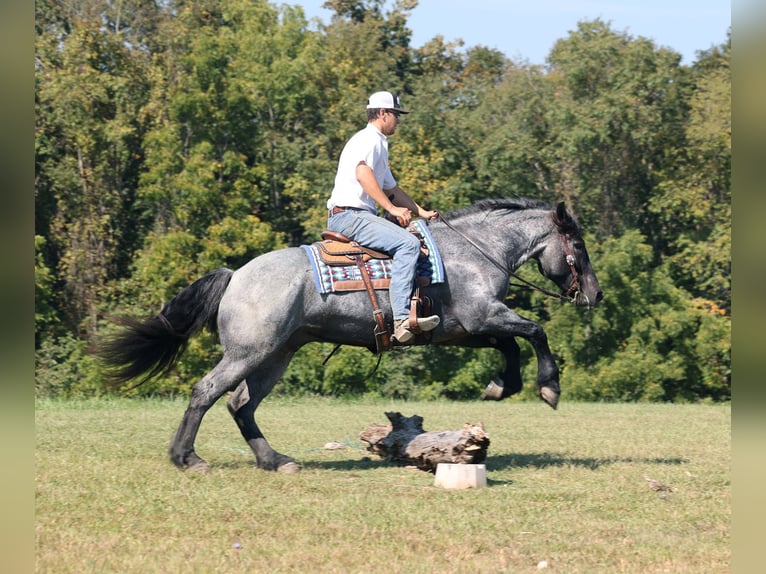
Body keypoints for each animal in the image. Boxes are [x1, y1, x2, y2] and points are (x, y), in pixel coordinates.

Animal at [100, 198, 608, 472]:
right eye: (578, 245)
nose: (596, 294)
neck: (474, 253)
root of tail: (236, 275)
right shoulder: (485, 316)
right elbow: (535, 332)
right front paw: (549, 386)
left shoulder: (466, 329)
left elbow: (510, 344)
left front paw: (502, 385)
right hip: (249, 353)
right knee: (206, 392)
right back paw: (187, 457)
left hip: (276, 355)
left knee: (240, 405)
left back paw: (274, 460)